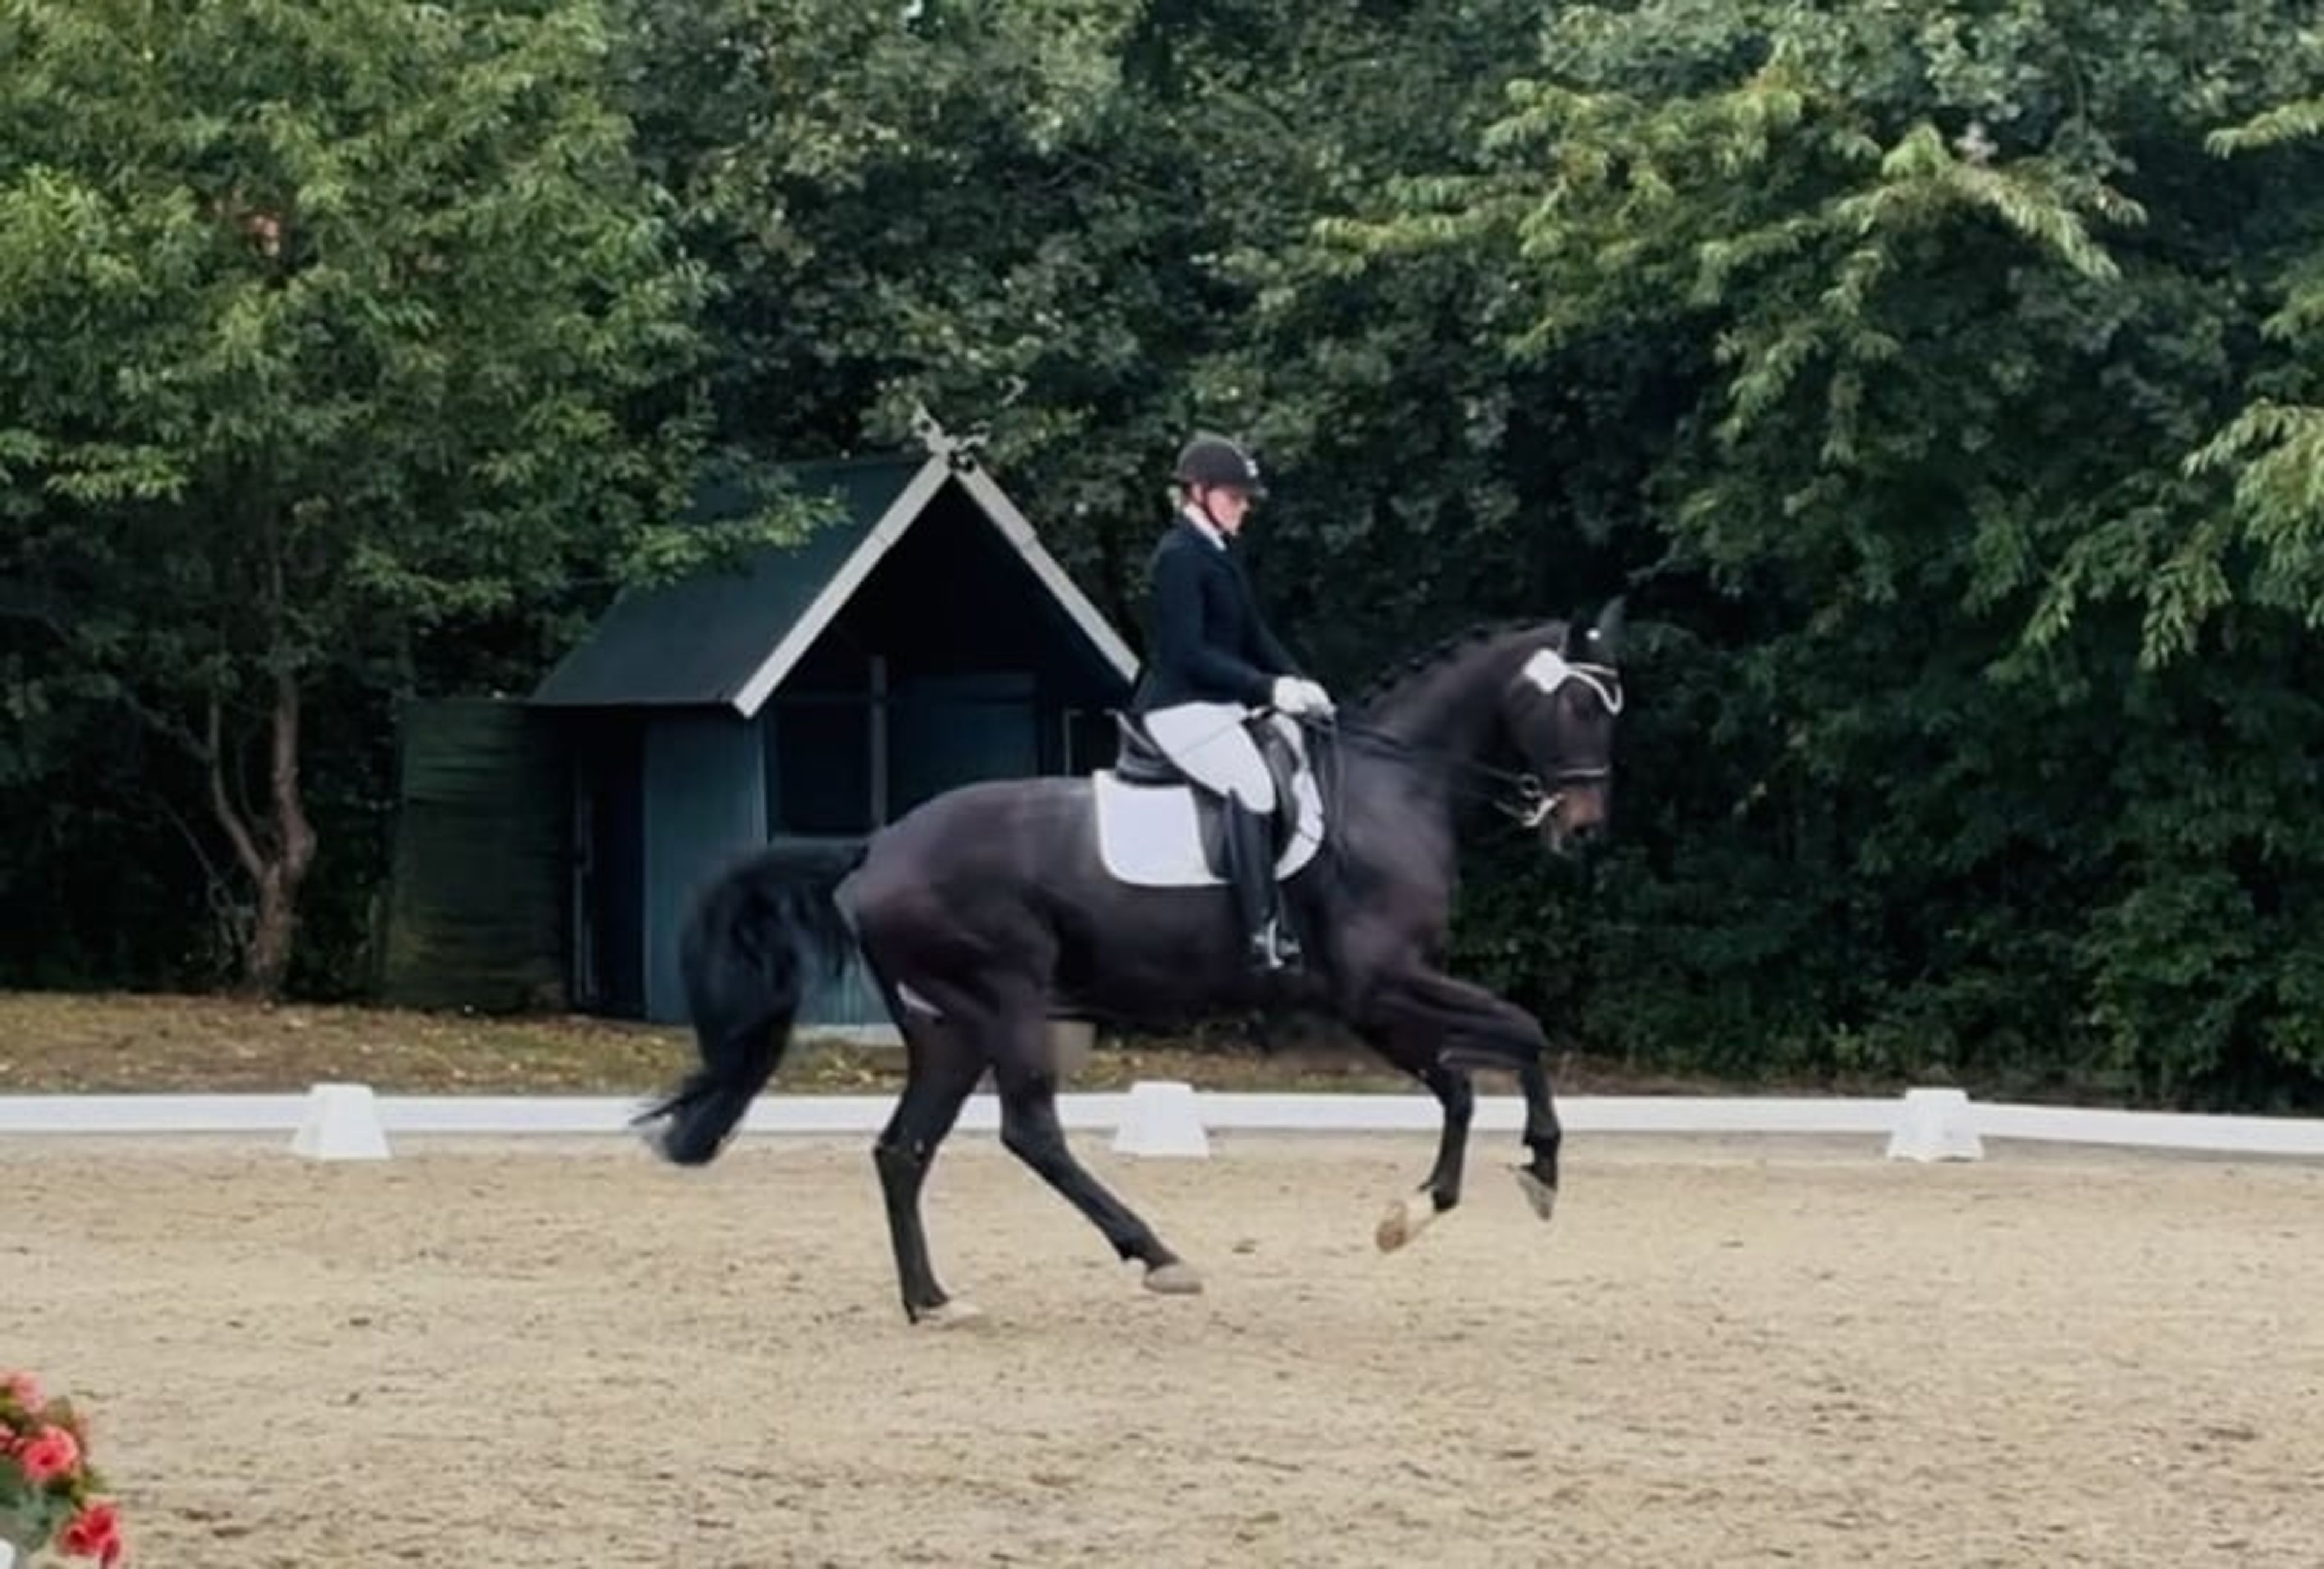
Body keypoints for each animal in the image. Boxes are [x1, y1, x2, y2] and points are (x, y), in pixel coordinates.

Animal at [635, 602, 1627, 1324]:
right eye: (1579, 705)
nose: (1581, 829)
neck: (1392, 788)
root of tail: (876, 847)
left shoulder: (1379, 1001)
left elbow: (1460, 1082)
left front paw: (1414, 1211)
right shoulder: (1382, 985)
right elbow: (1524, 1034)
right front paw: (1539, 1171)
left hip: (946, 1025)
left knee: (903, 1149)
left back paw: (934, 1302)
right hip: (1006, 1000)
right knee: (1029, 1132)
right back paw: (1155, 1256)